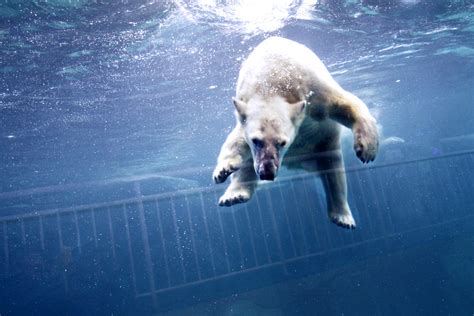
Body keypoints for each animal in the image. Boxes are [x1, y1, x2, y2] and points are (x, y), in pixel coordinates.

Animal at [212, 37, 378, 228]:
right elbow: (236, 141)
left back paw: (343, 218)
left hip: (324, 145)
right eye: (256, 140)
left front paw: (367, 149)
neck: (272, 78)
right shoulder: (246, 106)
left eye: (282, 142)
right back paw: (234, 195)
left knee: (334, 174)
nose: (267, 172)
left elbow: (346, 104)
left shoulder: (312, 89)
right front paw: (223, 170)